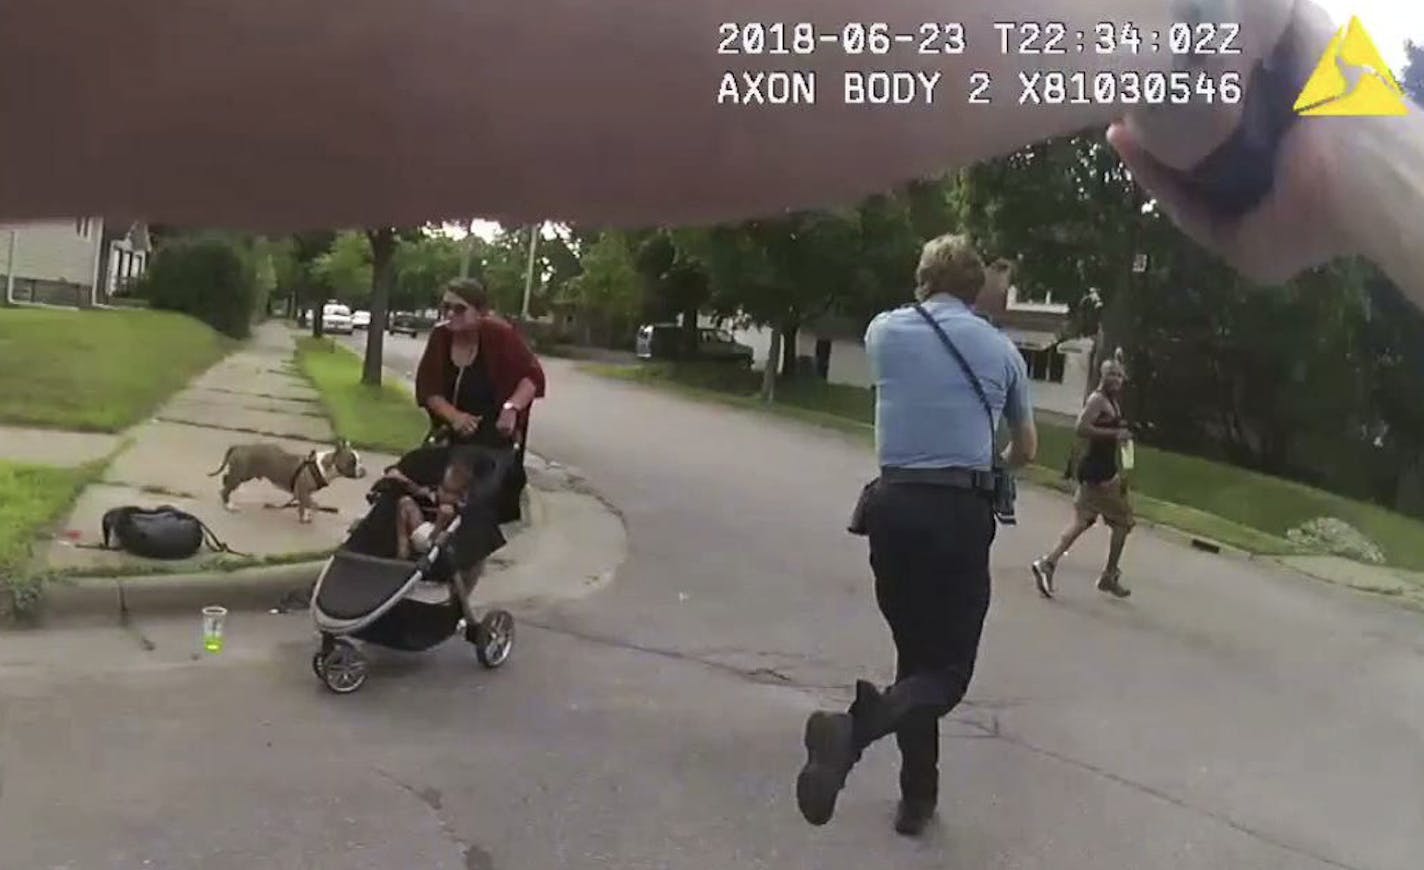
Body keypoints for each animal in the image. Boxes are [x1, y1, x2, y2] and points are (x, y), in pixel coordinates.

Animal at [209, 438, 370, 521]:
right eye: (352, 462)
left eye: (360, 460)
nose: (363, 471)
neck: (323, 466)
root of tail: (239, 446)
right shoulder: (302, 492)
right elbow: (312, 504)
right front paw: (306, 516)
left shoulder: (304, 493)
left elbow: (307, 504)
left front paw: (307, 514)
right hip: (241, 473)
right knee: (226, 489)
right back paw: (229, 505)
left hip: (245, 474)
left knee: (226, 479)